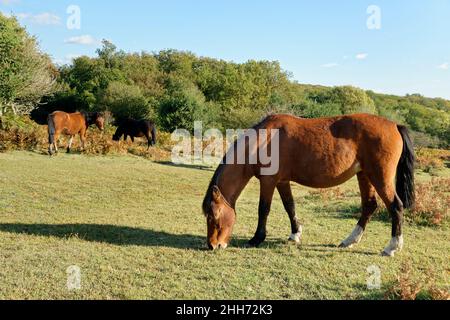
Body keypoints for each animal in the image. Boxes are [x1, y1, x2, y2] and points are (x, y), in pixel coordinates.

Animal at [201, 114, 414, 256]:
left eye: (215, 216)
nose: (212, 245)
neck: (263, 141)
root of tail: (395, 125)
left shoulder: (269, 181)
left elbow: (264, 209)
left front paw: (257, 238)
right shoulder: (282, 182)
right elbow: (290, 206)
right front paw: (295, 234)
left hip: (380, 177)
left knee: (396, 207)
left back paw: (392, 246)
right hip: (364, 175)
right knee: (369, 206)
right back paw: (349, 240)